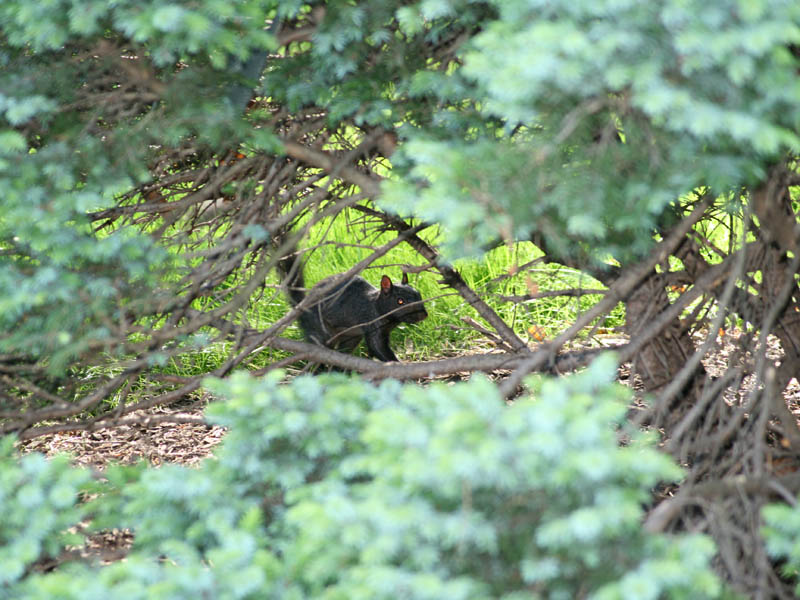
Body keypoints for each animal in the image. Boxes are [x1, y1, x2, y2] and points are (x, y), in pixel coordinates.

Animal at [276, 247, 424, 360]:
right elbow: (377, 347)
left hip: (351, 336)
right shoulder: (371, 322)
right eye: (400, 301)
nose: (424, 315)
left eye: (418, 294)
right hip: (319, 327)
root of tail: (301, 306)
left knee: (343, 350)